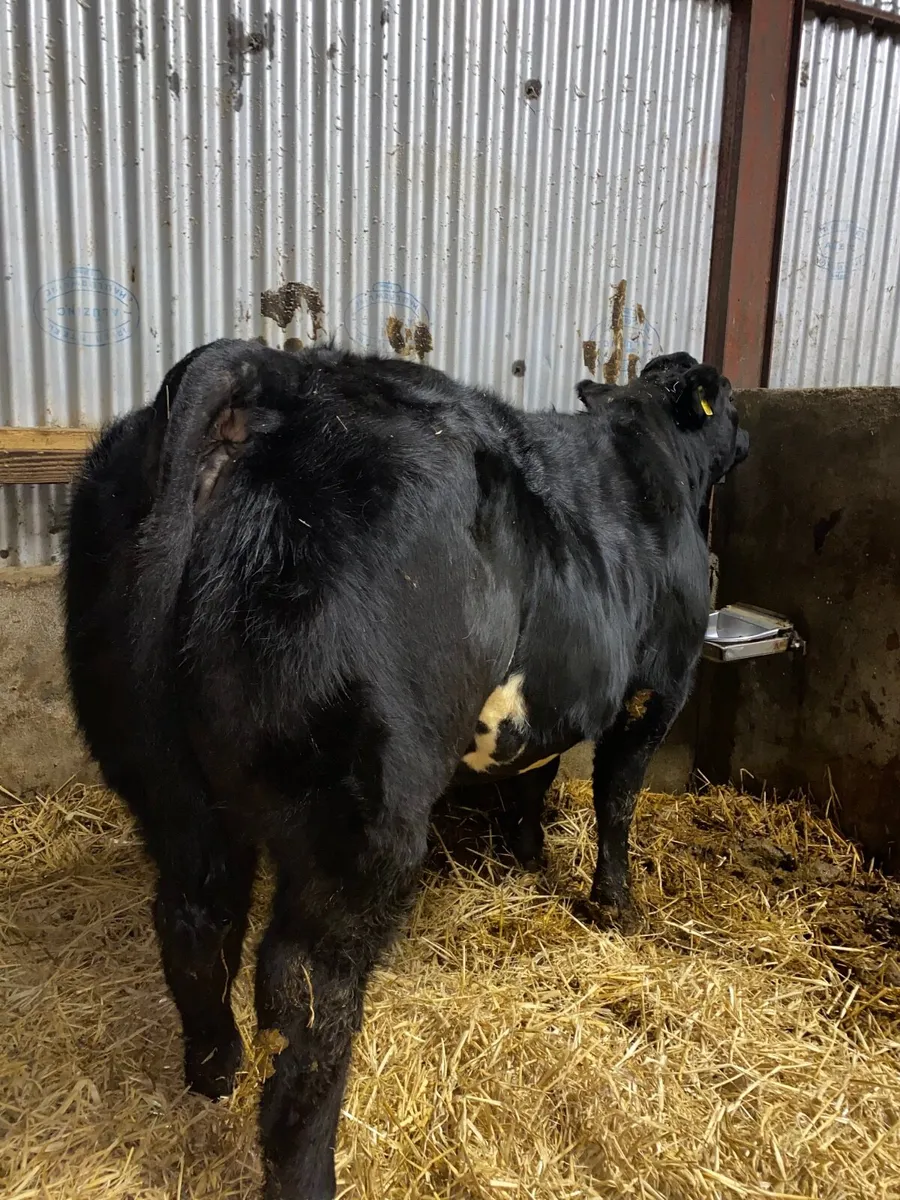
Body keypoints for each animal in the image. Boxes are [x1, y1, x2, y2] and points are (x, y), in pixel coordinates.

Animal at [64, 341, 748, 1199]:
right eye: (731, 402)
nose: (747, 437)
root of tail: (270, 375)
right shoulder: (658, 687)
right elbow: (615, 798)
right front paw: (614, 905)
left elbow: (533, 777)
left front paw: (527, 857)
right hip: (357, 812)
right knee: (307, 994)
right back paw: (307, 1169)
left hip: (161, 773)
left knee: (195, 916)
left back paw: (215, 1070)